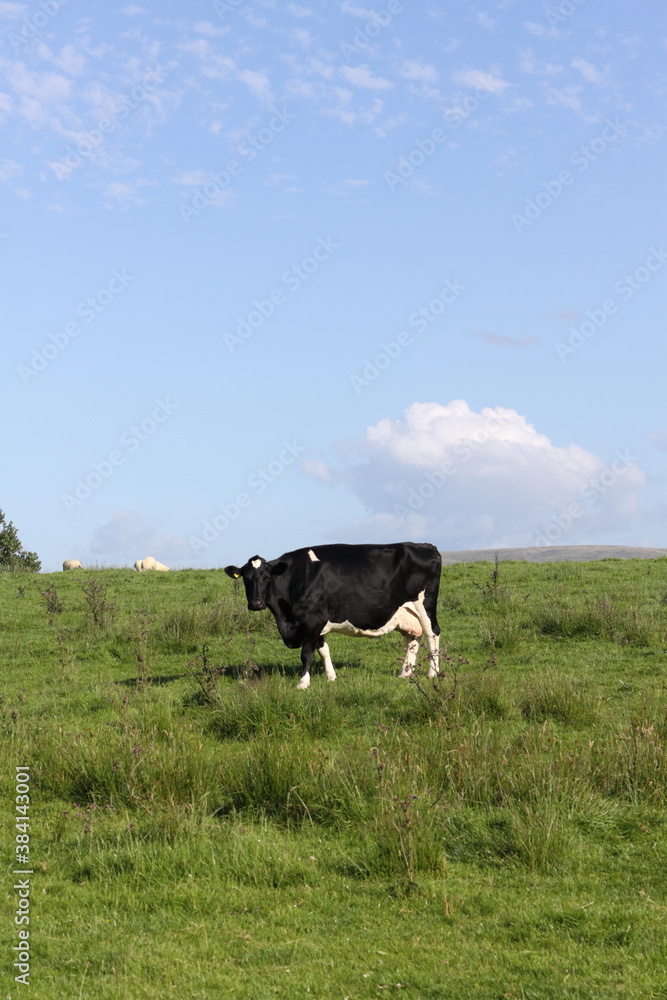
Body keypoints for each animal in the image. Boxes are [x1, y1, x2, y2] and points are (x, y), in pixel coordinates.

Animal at [224, 542, 441, 689]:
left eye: (267, 578)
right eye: (246, 579)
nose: (256, 603)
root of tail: (426, 546)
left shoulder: (313, 619)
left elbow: (307, 653)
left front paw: (303, 683)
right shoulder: (316, 623)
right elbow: (323, 650)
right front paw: (331, 677)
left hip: (425, 606)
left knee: (433, 634)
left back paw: (433, 673)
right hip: (406, 613)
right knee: (413, 639)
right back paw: (405, 674)